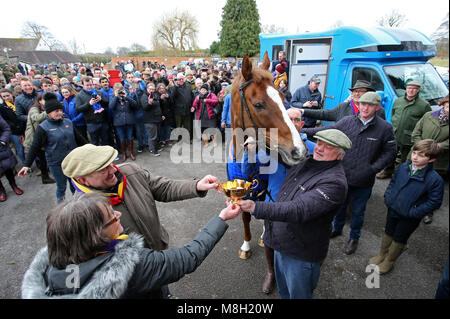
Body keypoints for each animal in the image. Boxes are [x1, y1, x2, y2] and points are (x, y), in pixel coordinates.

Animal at [230, 50, 308, 260]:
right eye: (258, 104)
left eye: (282, 98)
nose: (299, 150)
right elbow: (245, 216)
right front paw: (246, 245)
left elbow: (268, 209)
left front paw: (264, 238)